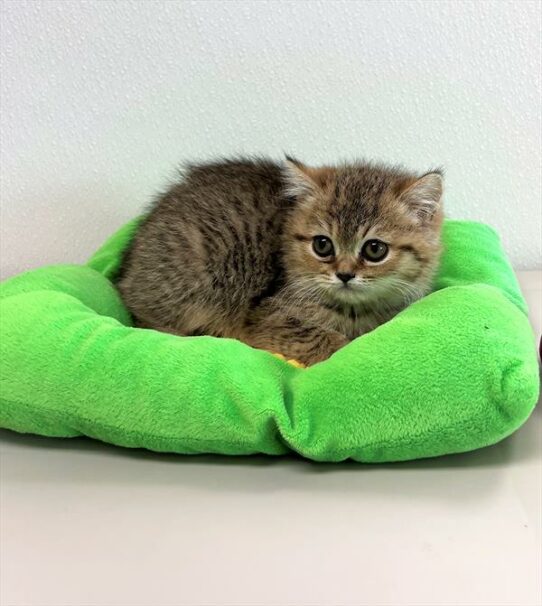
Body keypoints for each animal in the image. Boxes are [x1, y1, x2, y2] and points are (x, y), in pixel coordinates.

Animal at [117, 157, 444, 366]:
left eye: (375, 249)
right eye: (322, 245)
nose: (344, 274)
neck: (354, 312)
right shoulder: (266, 316)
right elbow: (324, 339)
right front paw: (344, 347)